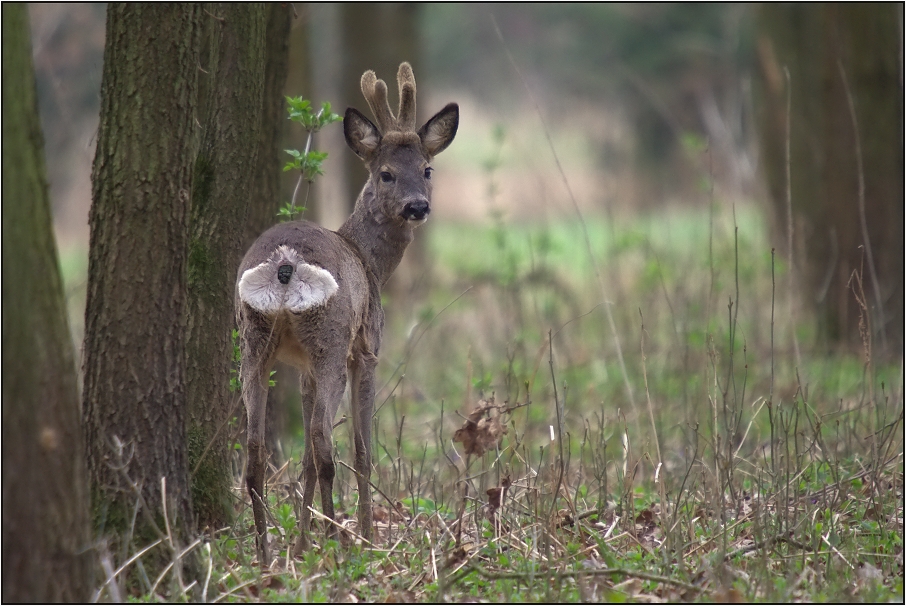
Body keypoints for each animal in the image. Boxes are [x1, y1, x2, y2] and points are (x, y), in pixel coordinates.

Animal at [237, 64, 456, 564]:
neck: (370, 261)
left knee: (256, 450)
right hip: (332, 340)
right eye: (386, 174)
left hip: (253, 341)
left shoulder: (302, 368)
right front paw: (369, 537)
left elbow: (300, 460)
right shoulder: (368, 348)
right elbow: (360, 450)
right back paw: (340, 544)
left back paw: (266, 553)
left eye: (427, 169)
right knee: (323, 441)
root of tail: (285, 262)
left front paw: (301, 544)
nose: (419, 206)